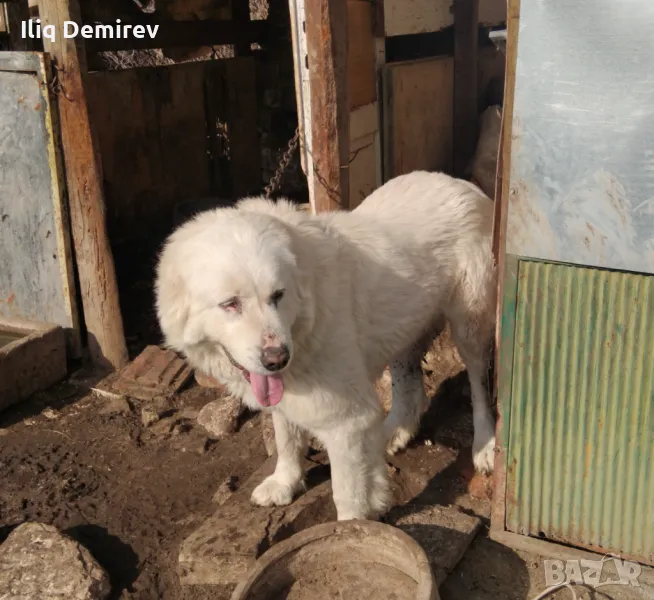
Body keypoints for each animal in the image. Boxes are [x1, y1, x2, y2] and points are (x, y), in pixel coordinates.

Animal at [156, 170, 500, 520]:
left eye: (278, 295)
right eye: (230, 304)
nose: (277, 358)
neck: (307, 316)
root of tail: (462, 184)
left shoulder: (346, 421)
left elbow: (346, 494)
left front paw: (350, 528)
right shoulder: (288, 392)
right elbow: (287, 439)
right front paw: (284, 482)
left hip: (469, 327)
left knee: (479, 387)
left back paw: (484, 445)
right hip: (403, 325)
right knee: (409, 386)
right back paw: (393, 431)